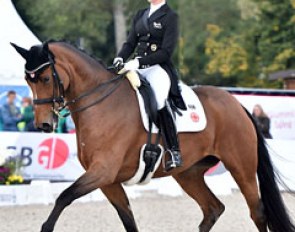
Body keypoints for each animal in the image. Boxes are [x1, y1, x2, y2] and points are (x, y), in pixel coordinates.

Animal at [10, 41, 294, 232]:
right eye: (28, 79)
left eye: (45, 78)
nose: (43, 124)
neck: (101, 103)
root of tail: (236, 104)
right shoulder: (107, 180)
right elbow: (127, 219)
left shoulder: (102, 171)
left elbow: (64, 197)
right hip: (188, 173)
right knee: (213, 209)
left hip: (241, 167)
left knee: (257, 212)